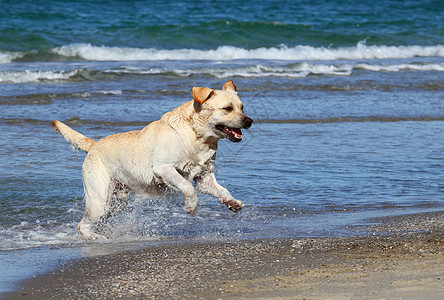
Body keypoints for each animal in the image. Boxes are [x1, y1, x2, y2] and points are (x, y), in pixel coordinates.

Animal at [51, 80, 253, 239]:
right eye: (227, 108)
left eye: (242, 107)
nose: (249, 121)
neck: (196, 136)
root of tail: (94, 144)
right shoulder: (163, 168)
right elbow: (187, 186)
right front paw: (191, 206)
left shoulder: (205, 178)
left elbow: (221, 189)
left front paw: (232, 202)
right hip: (99, 199)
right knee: (82, 225)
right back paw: (94, 237)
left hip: (116, 202)